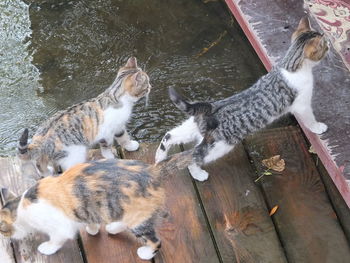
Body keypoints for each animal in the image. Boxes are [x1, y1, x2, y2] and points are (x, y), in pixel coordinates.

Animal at [18, 57, 150, 177]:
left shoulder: (118, 127)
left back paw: (48, 172)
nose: (151, 86)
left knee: (40, 163)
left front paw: (130, 146)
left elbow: (123, 137)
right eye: (147, 83)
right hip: (74, 154)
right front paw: (110, 157)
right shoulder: (105, 133)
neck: (115, 96)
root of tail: (40, 139)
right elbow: (107, 147)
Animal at [154, 17, 330, 182]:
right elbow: (309, 119)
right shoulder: (302, 104)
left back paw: (159, 157)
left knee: (170, 135)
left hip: (195, 127)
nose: (329, 48)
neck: (290, 66)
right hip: (219, 145)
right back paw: (197, 173)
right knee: (190, 157)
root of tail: (210, 108)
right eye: (325, 47)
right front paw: (318, 127)